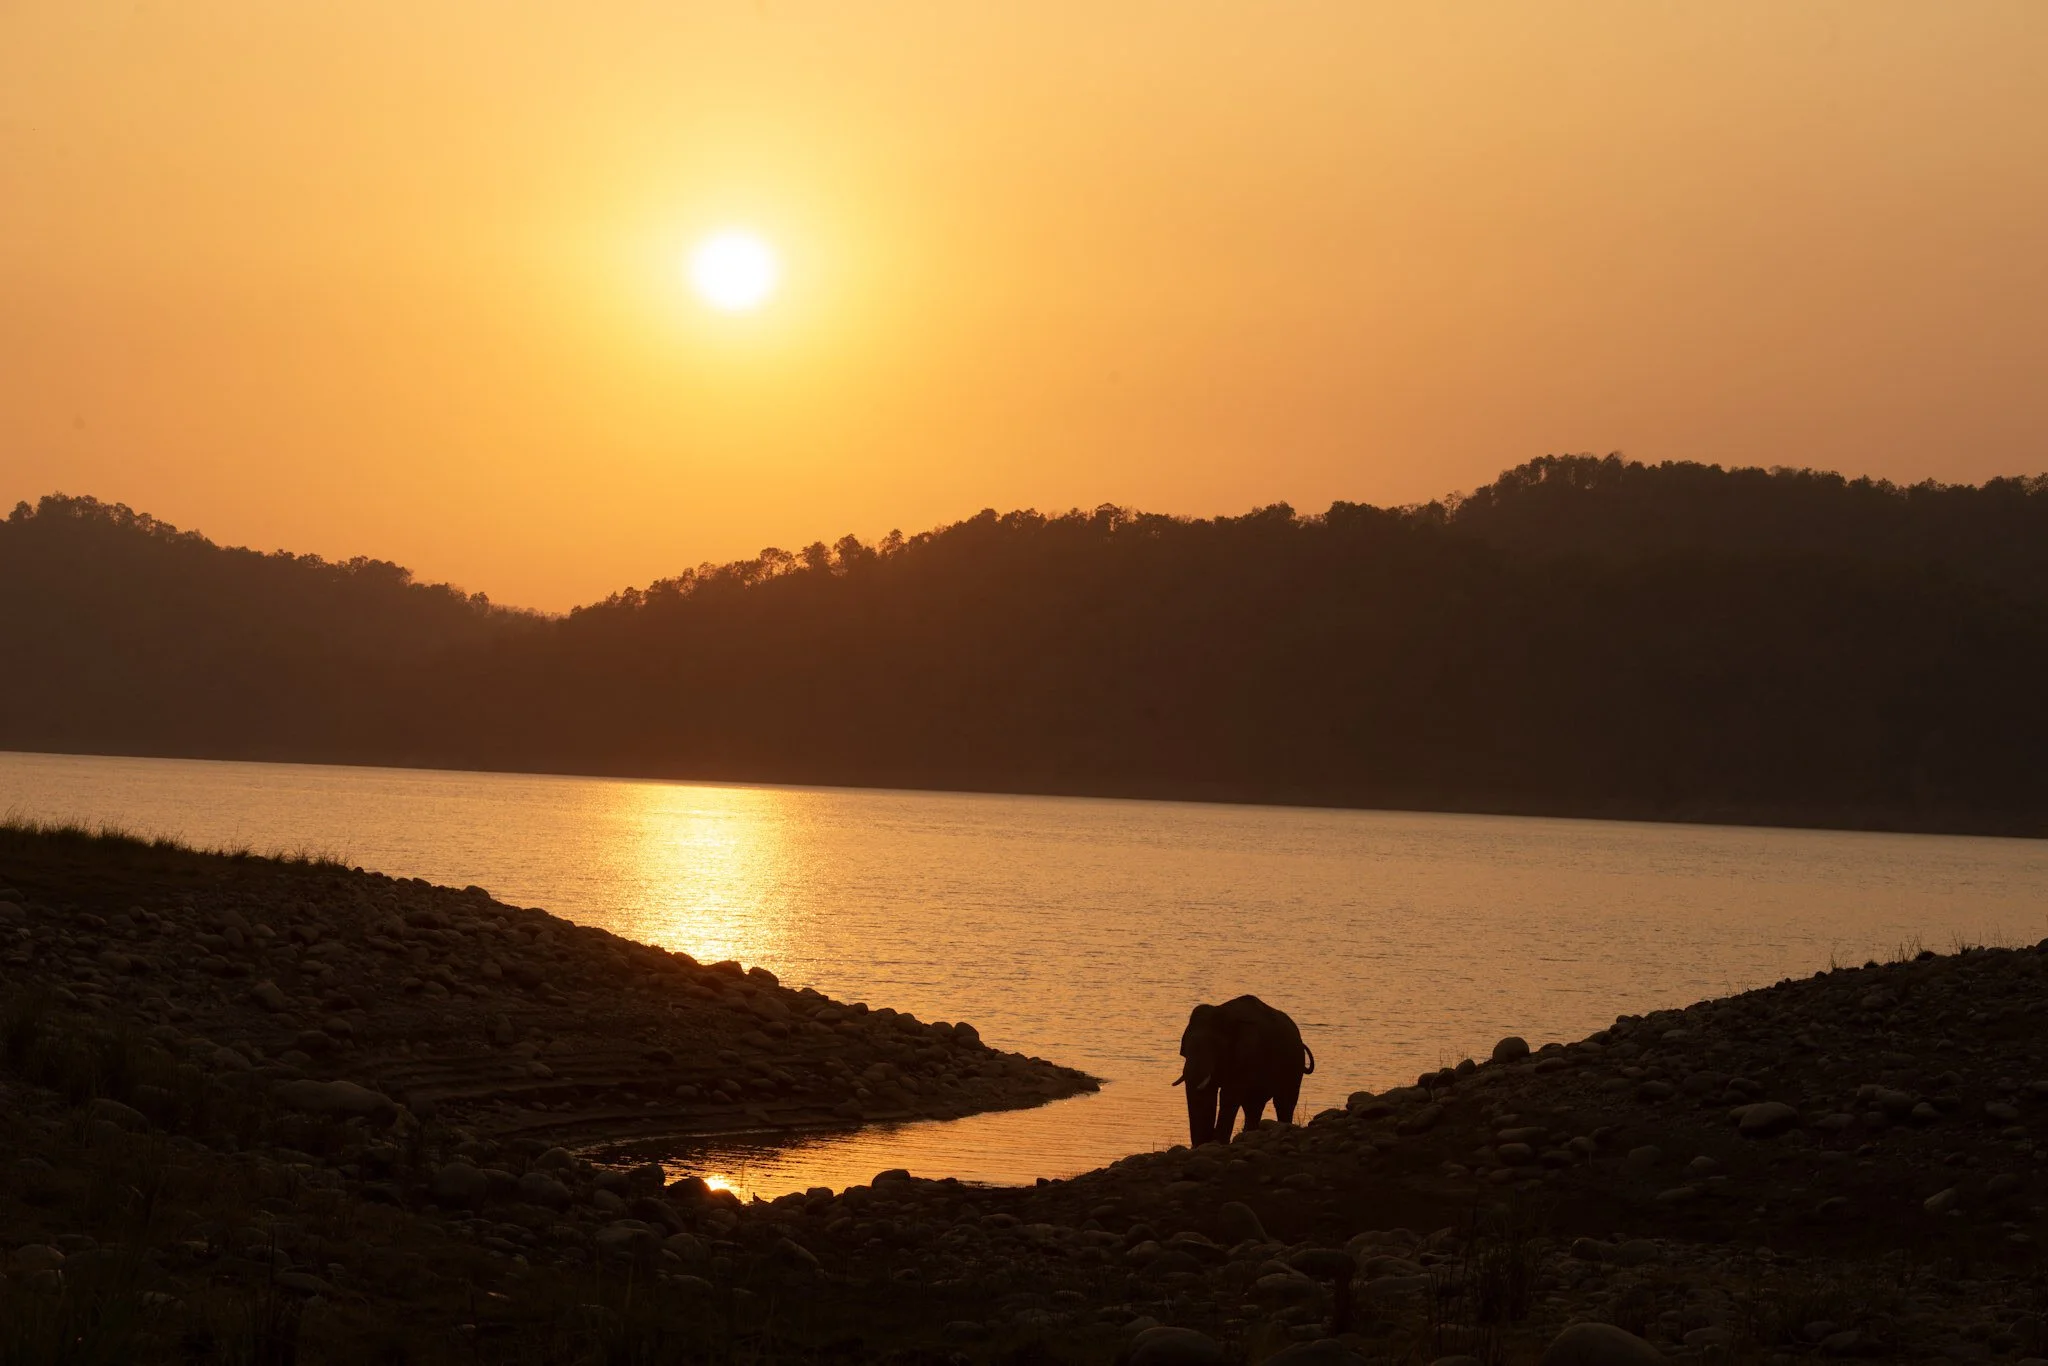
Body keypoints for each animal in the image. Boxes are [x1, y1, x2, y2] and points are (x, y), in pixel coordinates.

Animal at [1173, 994, 1315, 1145]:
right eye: (1184, 1050)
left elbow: (1229, 1094)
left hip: (1294, 1064)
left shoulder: (1248, 1056)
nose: (1208, 1139)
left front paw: (1219, 1141)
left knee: (1284, 1101)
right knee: (1253, 1105)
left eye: (1217, 1046)